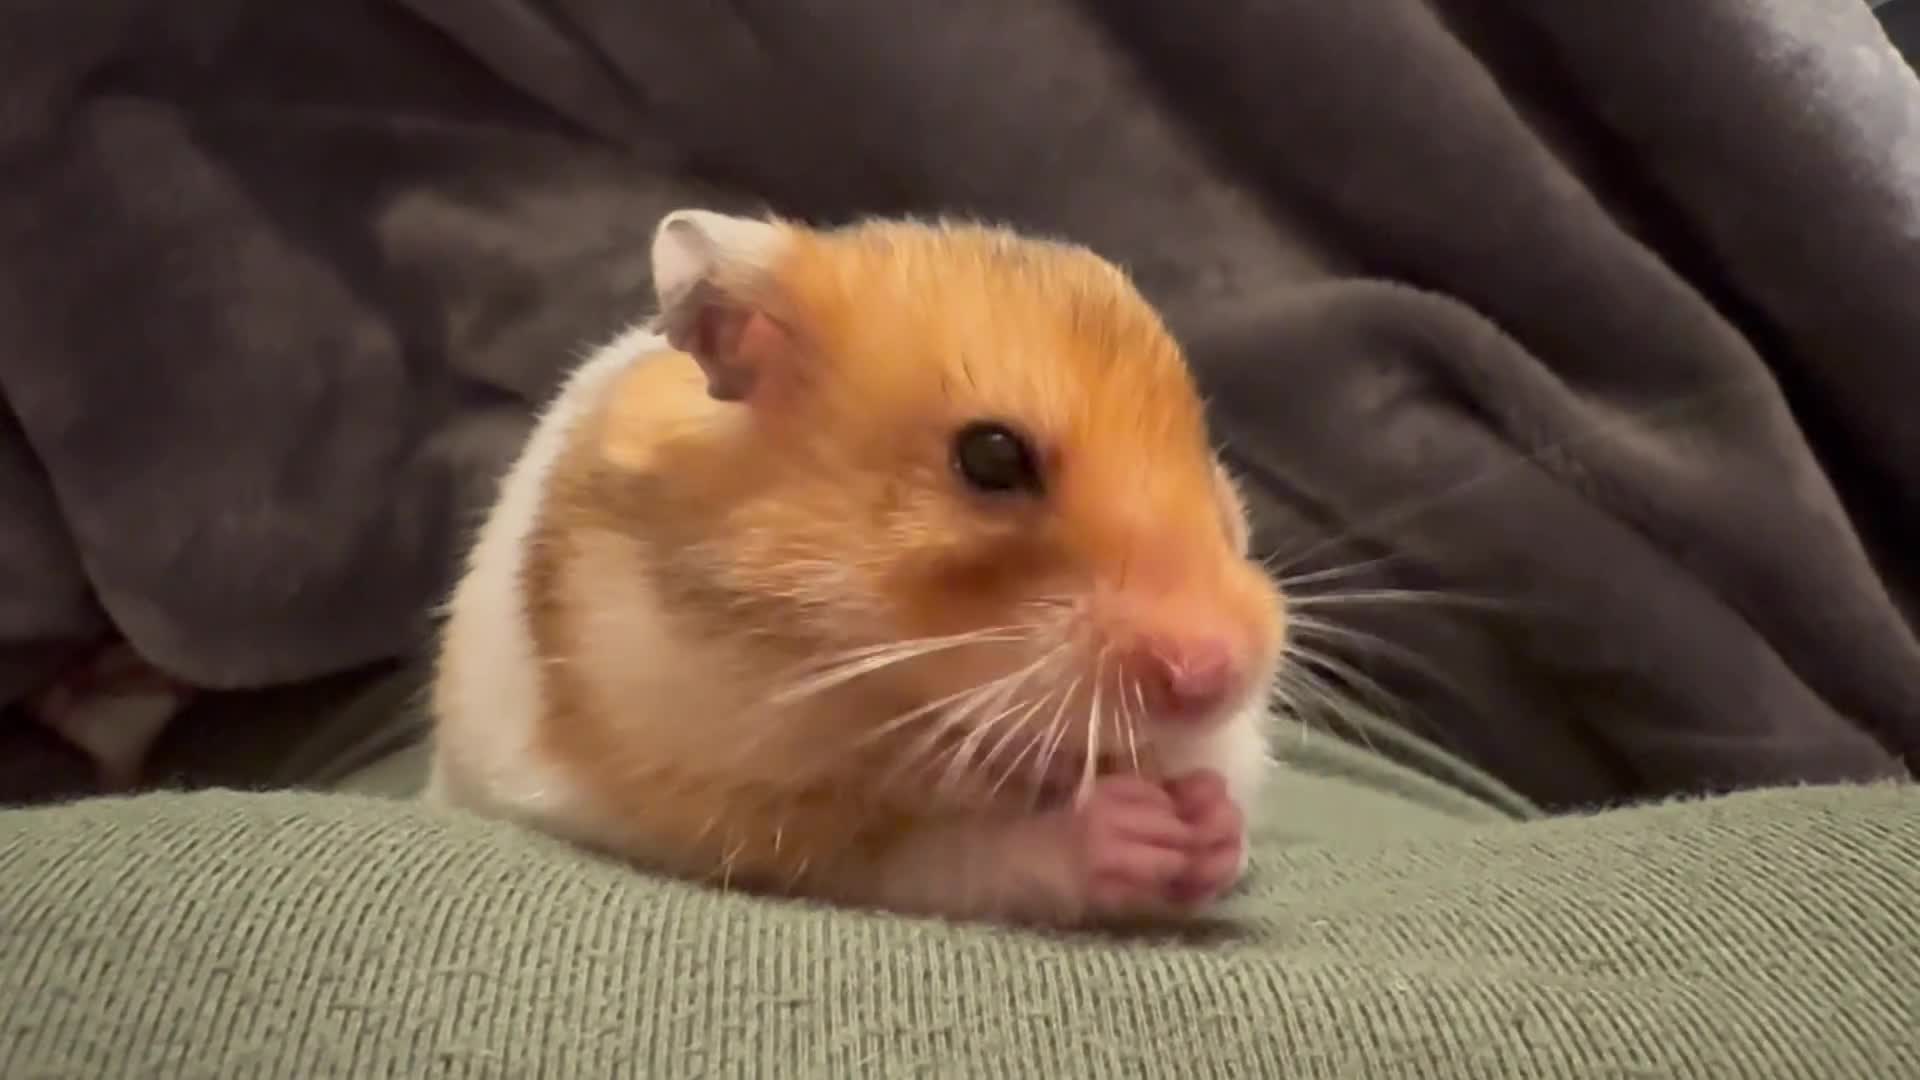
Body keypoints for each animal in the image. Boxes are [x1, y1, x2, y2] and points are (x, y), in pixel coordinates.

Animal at [425, 209, 1288, 928]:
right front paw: (1140, 831)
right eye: (991, 456)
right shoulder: (743, 815)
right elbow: (953, 853)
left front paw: (1206, 824)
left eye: (1208, 459)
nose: (1216, 675)